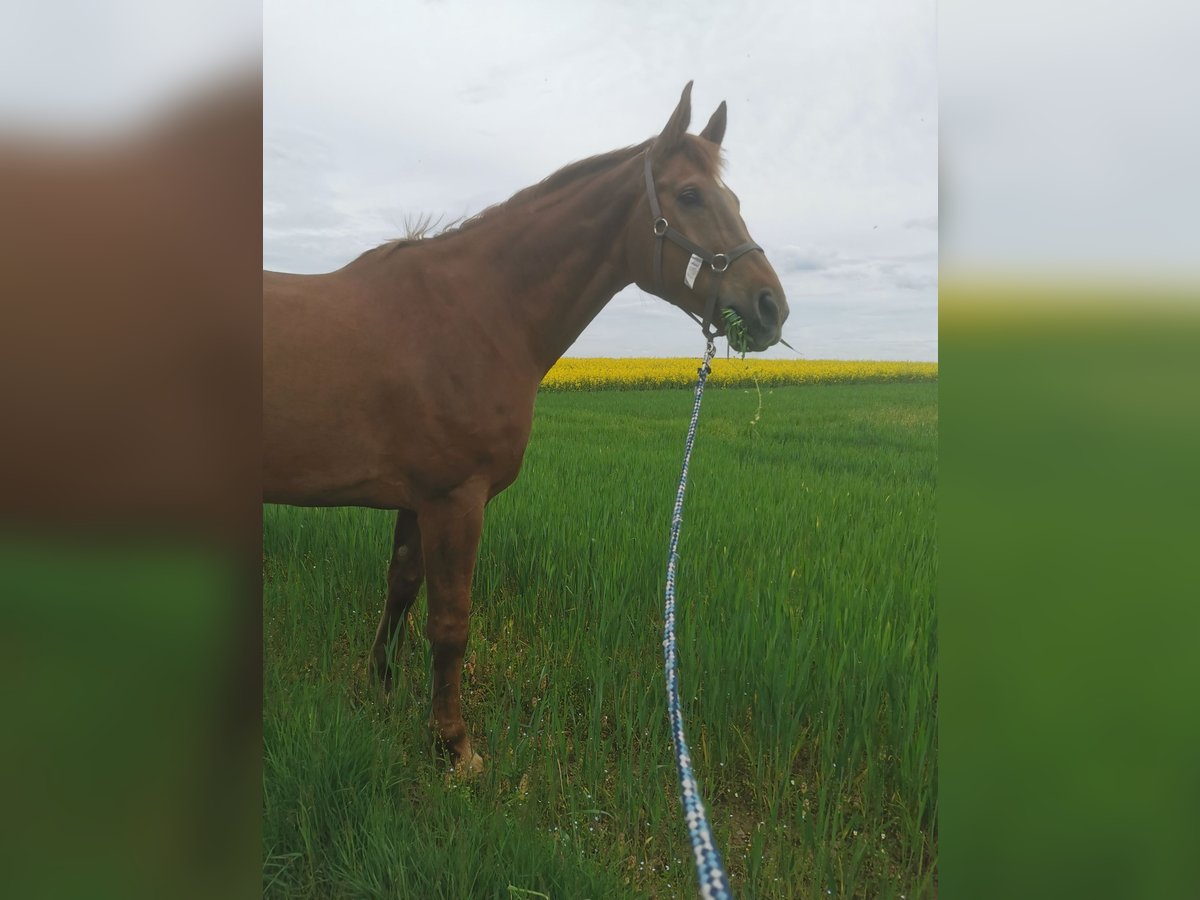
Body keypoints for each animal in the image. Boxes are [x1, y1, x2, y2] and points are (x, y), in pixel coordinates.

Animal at [264, 86, 787, 777]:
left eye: (736, 201)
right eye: (691, 195)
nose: (770, 307)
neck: (480, 312)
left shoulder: (417, 500)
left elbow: (401, 588)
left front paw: (381, 686)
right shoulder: (454, 500)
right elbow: (450, 623)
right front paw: (453, 744)